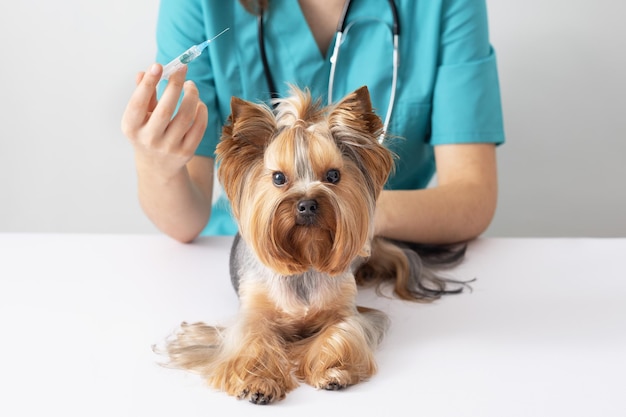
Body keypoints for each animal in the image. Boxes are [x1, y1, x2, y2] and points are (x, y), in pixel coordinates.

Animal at [161, 85, 464, 404]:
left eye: (333, 175)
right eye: (278, 178)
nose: (307, 204)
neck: (307, 255)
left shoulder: (346, 313)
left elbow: (341, 332)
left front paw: (333, 371)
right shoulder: (251, 315)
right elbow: (253, 341)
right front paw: (258, 382)